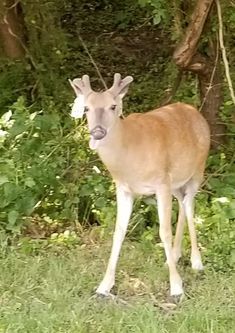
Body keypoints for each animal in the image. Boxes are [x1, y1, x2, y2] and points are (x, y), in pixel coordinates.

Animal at [69, 73, 210, 296]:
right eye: (86, 108)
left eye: (113, 106)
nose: (98, 132)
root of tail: (195, 111)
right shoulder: (123, 187)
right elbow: (118, 232)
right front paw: (104, 286)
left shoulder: (161, 182)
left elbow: (164, 231)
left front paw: (176, 287)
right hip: (176, 182)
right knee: (183, 203)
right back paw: (175, 256)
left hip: (198, 169)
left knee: (189, 205)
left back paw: (196, 262)